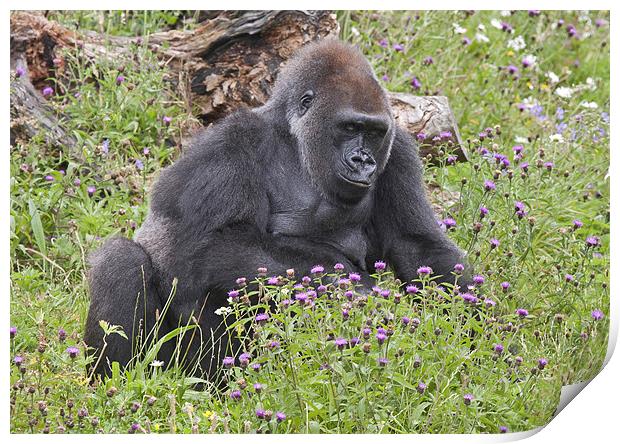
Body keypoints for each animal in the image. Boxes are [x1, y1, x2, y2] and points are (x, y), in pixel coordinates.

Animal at [85, 37, 468, 378]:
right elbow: (204, 243)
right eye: (350, 127)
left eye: (373, 132)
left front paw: (470, 331)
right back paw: (118, 380)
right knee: (123, 259)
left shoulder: (398, 148)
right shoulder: (232, 140)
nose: (363, 161)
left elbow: (416, 245)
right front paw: (347, 283)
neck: (294, 138)